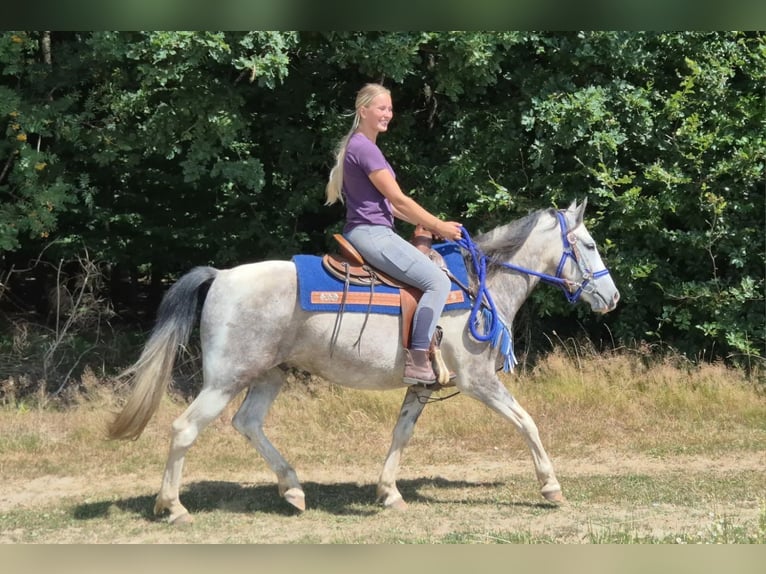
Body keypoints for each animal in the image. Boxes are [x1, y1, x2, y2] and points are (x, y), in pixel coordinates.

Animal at [108, 199, 619, 524]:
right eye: (590, 245)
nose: (612, 297)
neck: (478, 287)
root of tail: (221, 276)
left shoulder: (421, 386)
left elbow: (401, 434)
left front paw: (388, 492)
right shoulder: (478, 381)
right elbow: (526, 422)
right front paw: (550, 487)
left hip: (268, 376)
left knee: (247, 423)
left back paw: (292, 488)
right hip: (224, 380)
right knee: (184, 429)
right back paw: (173, 507)